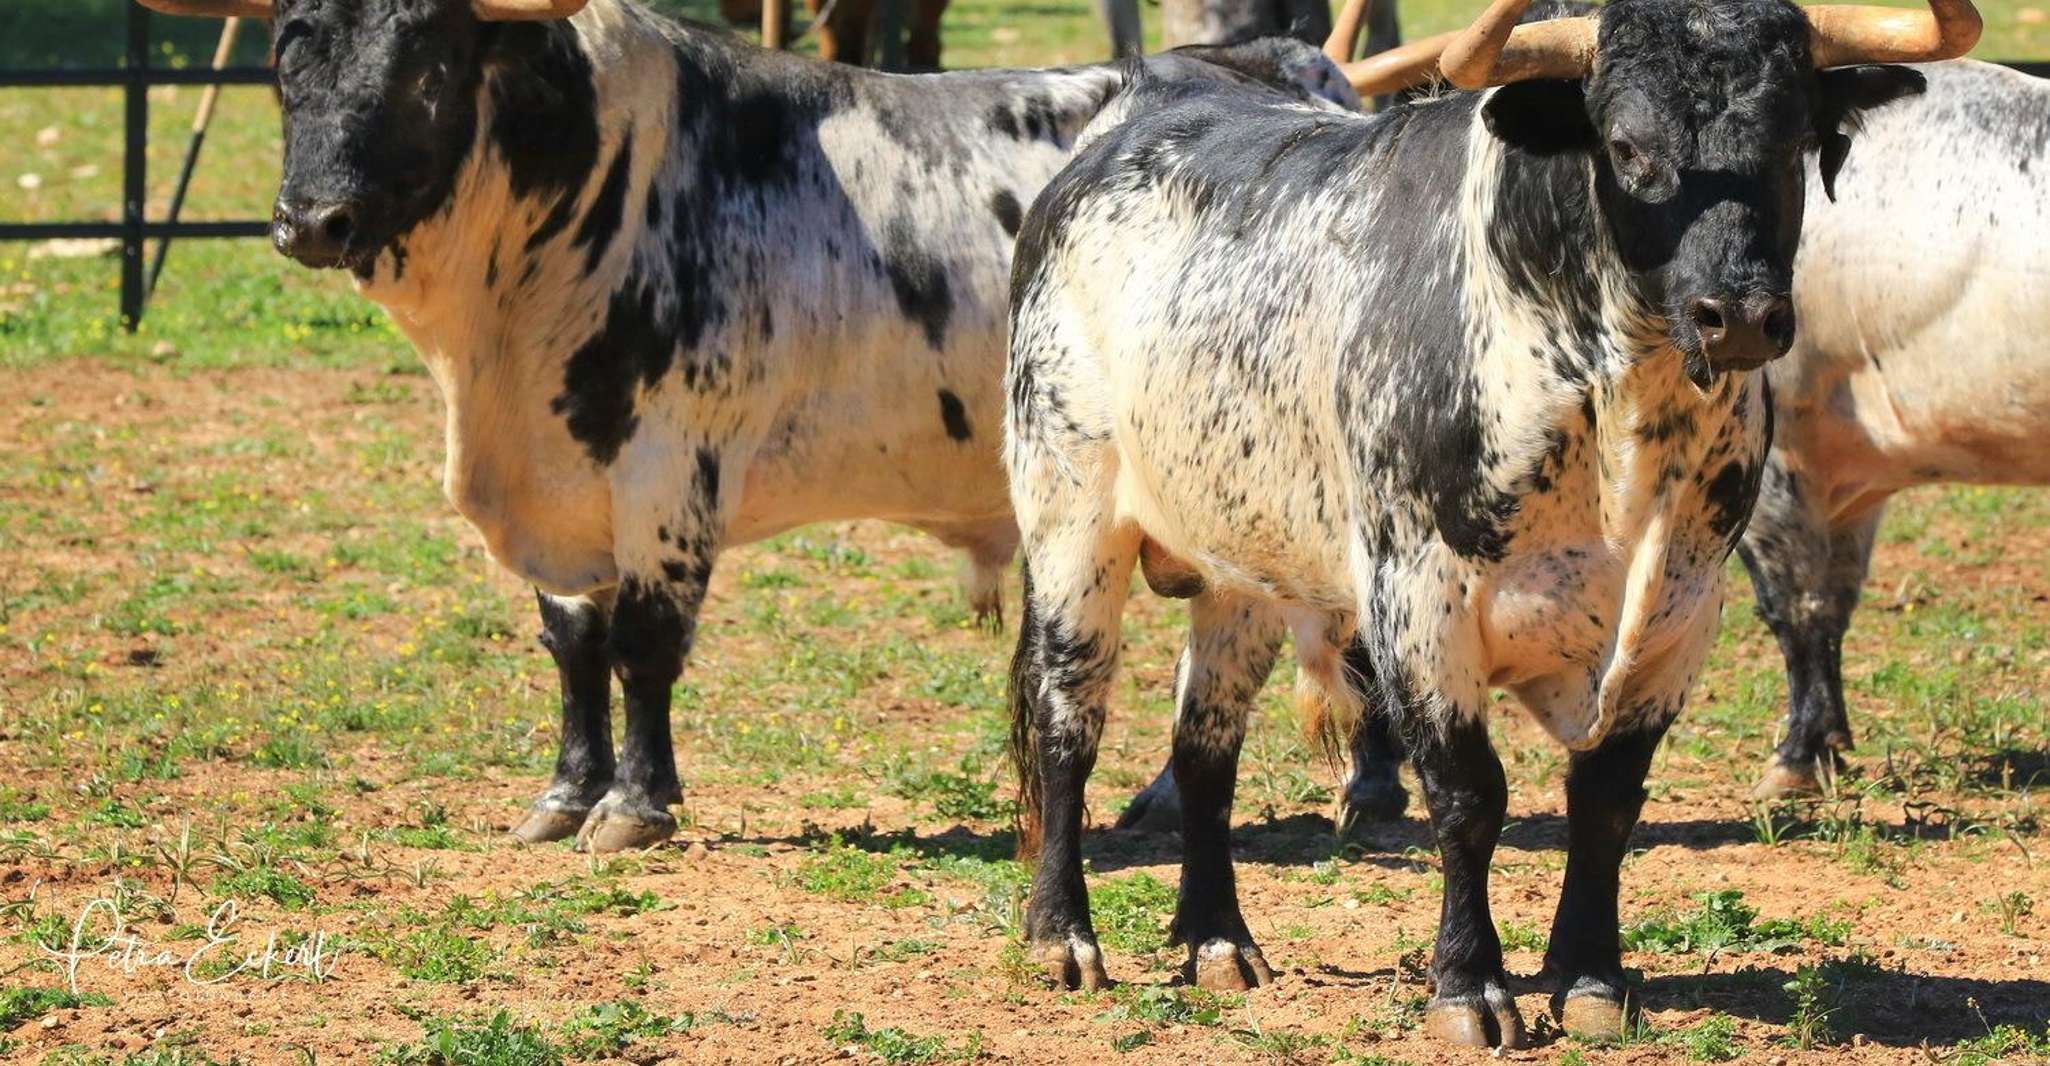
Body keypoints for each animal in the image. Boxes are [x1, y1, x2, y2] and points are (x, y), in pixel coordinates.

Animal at [131, 0, 1358, 853]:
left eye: (428, 56)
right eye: (287, 48)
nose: (312, 220)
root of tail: (1293, 68)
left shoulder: (670, 469)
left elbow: (644, 647)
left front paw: (634, 806)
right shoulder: (563, 486)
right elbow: (573, 645)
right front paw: (564, 794)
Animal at [1003, 0, 1970, 1048]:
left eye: (1796, 141)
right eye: (1627, 147)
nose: (1741, 317)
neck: (1623, 417)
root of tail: (1129, 116)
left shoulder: (1681, 615)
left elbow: (1606, 800)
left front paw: (1591, 977)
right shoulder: (1419, 602)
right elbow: (1470, 798)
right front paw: (1471, 988)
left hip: (1244, 564)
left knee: (1203, 748)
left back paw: (1217, 941)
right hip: (1069, 522)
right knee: (1069, 722)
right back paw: (1063, 938)